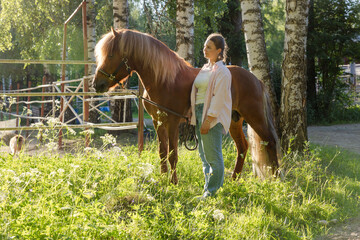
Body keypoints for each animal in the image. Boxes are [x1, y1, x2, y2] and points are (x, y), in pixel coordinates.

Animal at [93, 28, 282, 184]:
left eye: (110, 55)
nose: (97, 84)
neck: (164, 79)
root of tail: (256, 80)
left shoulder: (173, 122)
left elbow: (172, 154)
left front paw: (173, 183)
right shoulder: (157, 122)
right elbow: (162, 152)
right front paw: (163, 179)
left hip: (255, 117)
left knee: (270, 142)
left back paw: (276, 180)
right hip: (234, 121)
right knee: (242, 147)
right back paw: (234, 180)